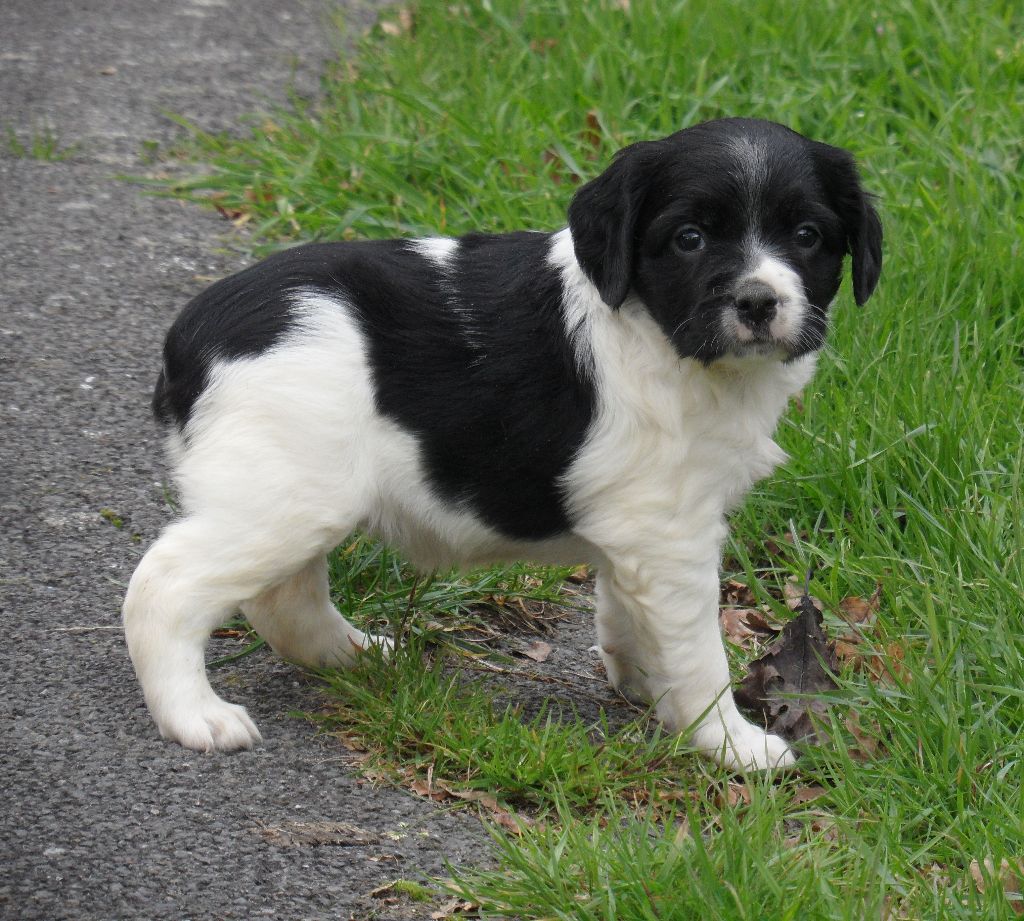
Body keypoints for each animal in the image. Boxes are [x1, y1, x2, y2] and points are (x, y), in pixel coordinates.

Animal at [123, 117, 882, 770]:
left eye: (807, 235)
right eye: (690, 238)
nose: (758, 302)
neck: (658, 332)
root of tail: (190, 336)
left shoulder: (637, 528)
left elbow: (625, 610)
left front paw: (645, 687)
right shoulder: (672, 532)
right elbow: (697, 650)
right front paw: (730, 742)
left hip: (292, 494)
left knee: (284, 600)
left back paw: (361, 656)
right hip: (283, 497)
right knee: (165, 587)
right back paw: (195, 715)